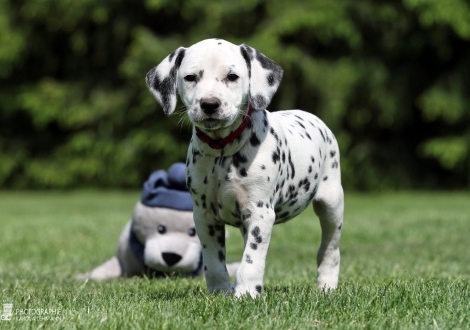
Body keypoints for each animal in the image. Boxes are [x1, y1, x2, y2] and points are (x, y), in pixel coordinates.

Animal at [147, 38, 346, 296]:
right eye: (190, 77)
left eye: (232, 76)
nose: (209, 104)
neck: (222, 151)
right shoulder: (204, 216)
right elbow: (213, 261)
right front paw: (220, 292)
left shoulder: (260, 213)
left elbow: (252, 260)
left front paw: (247, 293)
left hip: (331, 205)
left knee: (329, 250)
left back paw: (326, 286)